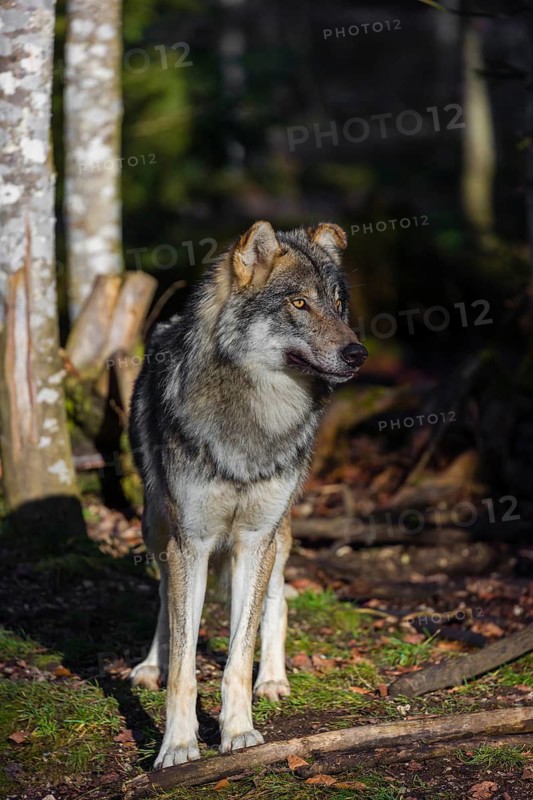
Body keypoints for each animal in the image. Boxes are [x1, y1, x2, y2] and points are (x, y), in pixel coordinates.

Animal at [128, 221, 367, 769]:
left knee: (275, 603)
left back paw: (274, 680)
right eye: (298, 303)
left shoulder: (256, 538)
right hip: (156, 528)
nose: (357, 354)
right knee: (163, 599)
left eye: (337, 303)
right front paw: (178, 746)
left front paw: (238, 733)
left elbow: (238, 657)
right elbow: (184, 668)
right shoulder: (190, 543)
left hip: (279, 533)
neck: (257, 416)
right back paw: (151, 663)